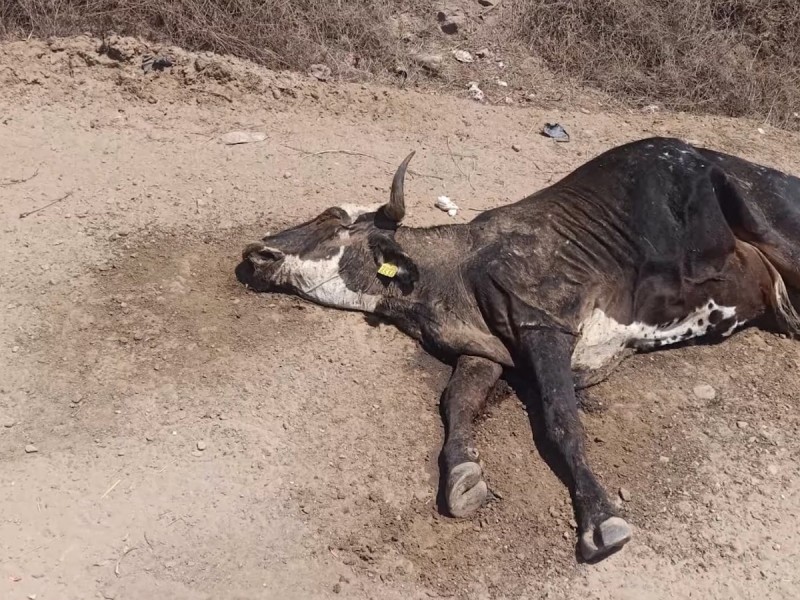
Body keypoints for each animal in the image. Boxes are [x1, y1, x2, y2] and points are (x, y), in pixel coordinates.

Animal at [238, 138, 800, 560]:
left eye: (333, 219)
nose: (255, 252)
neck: (451, 273)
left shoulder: (542, 324)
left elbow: (562, 421)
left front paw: (600, 517)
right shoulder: (483, 353)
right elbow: (456, 402)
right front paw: (463, 472)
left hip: (762, 215)